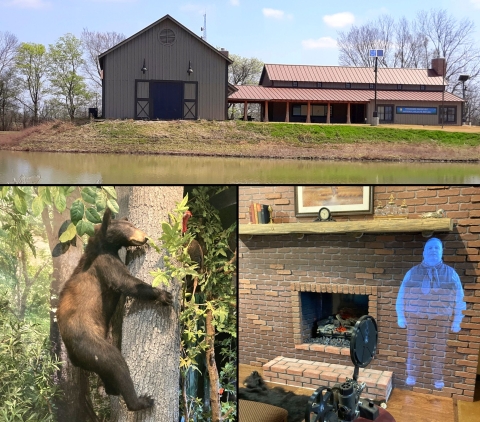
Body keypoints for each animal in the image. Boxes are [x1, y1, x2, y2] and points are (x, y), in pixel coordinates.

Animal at [56, 209, 172, 412]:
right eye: (131, 226)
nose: (145, 237)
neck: (101, 245)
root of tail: (73, 357)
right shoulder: (104, 263)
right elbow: (126, 282)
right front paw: (163, 295)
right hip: (90, 343)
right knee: (115, 363)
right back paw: (140, 400)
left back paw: (113, 390)